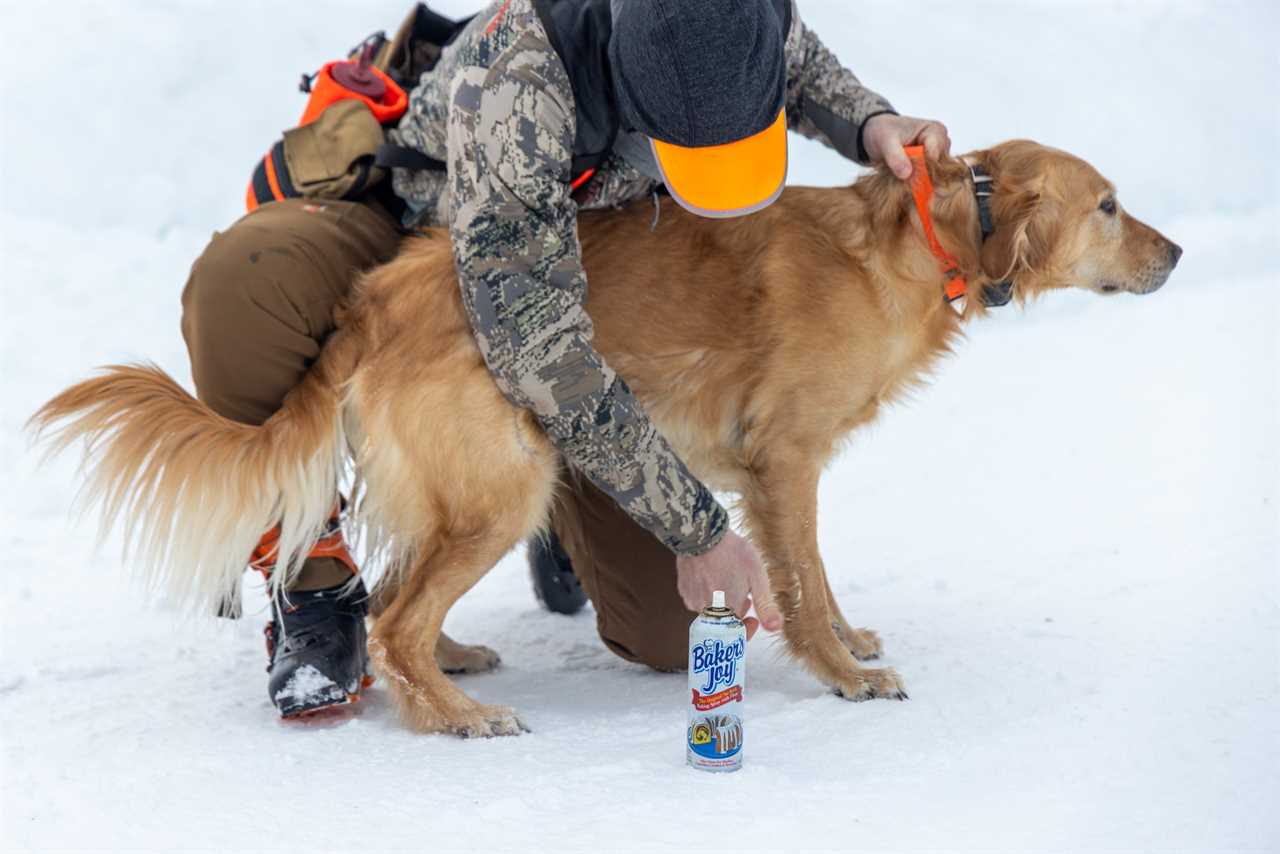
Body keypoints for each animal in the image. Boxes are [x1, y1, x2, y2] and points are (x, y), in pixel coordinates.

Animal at [30, 140, 1182, 737]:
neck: (919, 240)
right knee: (394, 616)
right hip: (509, 482)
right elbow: (799, 578)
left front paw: (850, 641)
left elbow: (817, 576)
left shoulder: (783, 472)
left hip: (466, 491)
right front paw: (841, 673)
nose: (1174, 253)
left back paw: (448, 664)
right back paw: (451, 711)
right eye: (1109, 204)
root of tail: (379, 297)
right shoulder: (782, 462)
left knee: (400, 591)